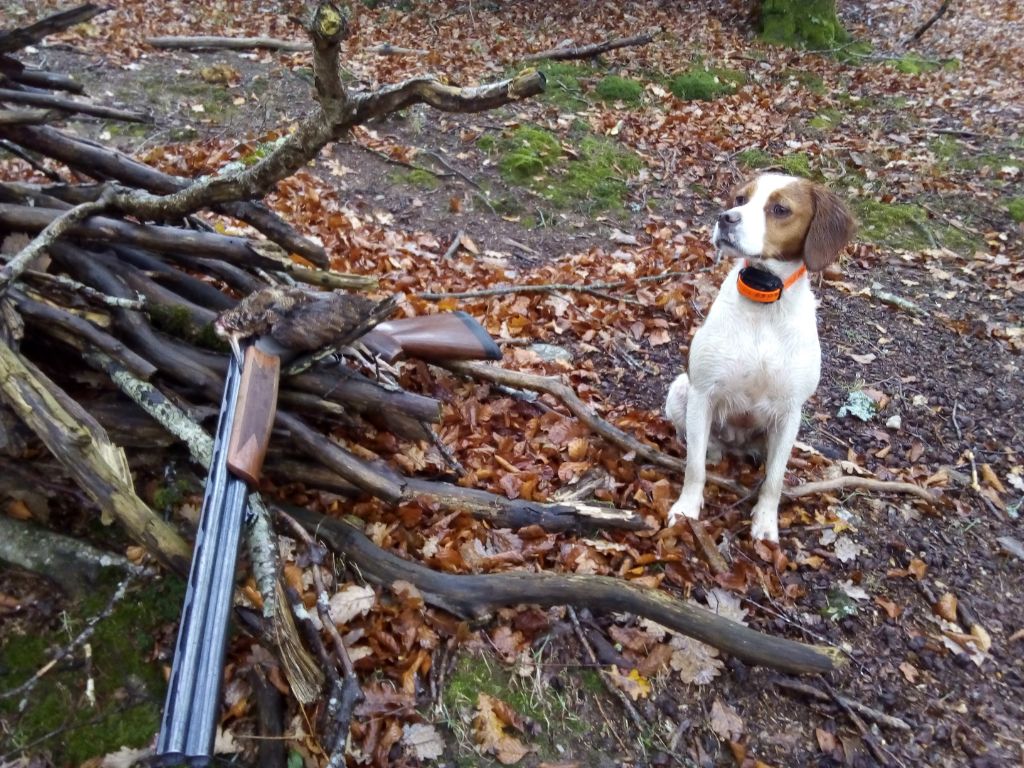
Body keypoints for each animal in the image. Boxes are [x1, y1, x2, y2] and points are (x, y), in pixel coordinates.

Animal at [663, 174, 856, 540]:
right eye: (740, 198)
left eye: (780, 209)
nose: (726, 218)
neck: (764, 303)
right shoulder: (703, 393)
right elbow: (693, 467)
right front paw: (686, 508)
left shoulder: (789, 412)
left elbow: (774, 481)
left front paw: (765, 524)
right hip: (680, 390)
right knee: (701, 444)